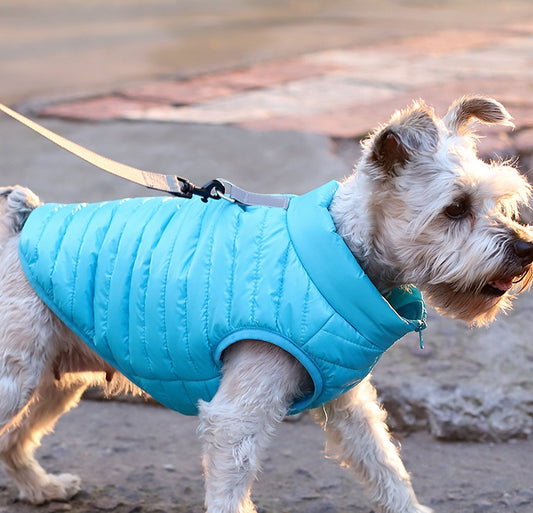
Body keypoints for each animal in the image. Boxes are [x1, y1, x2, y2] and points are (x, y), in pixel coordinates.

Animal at [1, 95, 532, 512]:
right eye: (455, 208)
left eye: (501, 203)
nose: (526, 250)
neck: (343, 247)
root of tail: (22, 223)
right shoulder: (235, 418)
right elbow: (230, 491)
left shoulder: (349, 403)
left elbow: (387, 468)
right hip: (17, 380)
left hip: (56, 384)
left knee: (11, 440)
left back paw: (41, 487)